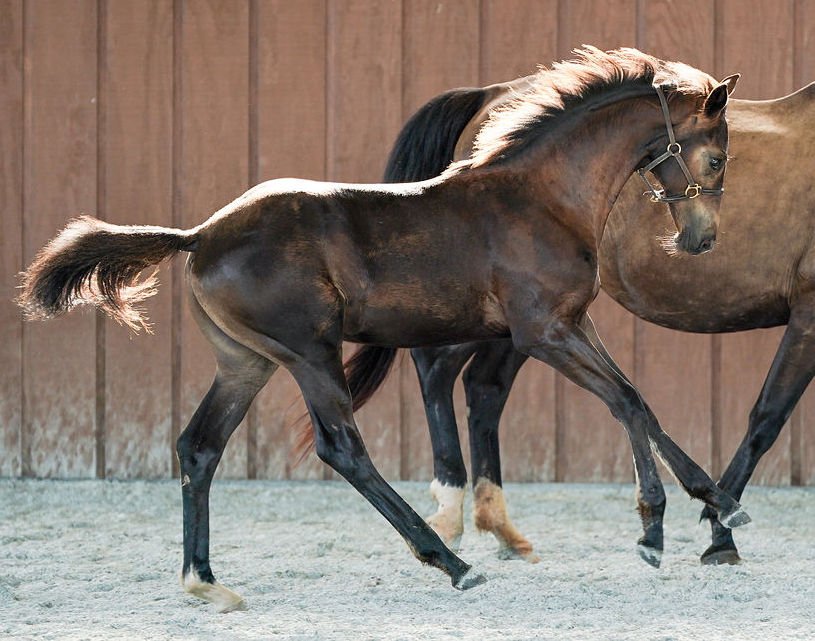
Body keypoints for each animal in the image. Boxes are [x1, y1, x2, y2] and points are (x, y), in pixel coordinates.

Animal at [18, 47, 743, 611]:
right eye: (715, 160)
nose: (701, 239)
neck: (539, 197)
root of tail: (197, 235)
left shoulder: (570, 322)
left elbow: (641, 404)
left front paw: (720, 508)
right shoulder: (542, 332)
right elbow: (625, 402)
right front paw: (652, 531)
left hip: (246, 362)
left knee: (199, 446)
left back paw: (204, 581)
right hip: (308, 352)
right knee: (342, 448)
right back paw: (450, 561)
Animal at [361, 71, 815, 567]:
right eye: (716, 159)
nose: (703, 238)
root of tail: (488, 94)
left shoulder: (569, 322)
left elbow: (639, 403)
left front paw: (710, 509)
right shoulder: (808, 313)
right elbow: (762, 417)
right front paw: (713, 530)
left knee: (481, 388)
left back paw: (496, 526)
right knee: (438, 369)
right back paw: (448, 517)